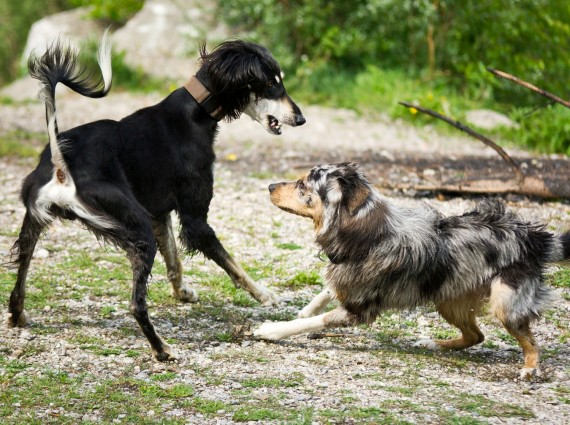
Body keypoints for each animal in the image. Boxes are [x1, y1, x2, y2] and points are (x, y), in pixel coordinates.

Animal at [7, 31, 302, 360]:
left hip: (36, 221)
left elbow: (174, 260)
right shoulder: (195, 220)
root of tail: (61, 164)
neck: (195, 112)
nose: (300, 118)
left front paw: (182, 292)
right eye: (271, 84)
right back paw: (161, 349)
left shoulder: (158, 212)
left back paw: (17, 315)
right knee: (136, 304)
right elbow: (232, 264)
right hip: (135, 227)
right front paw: (264, 294)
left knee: (20, 276)